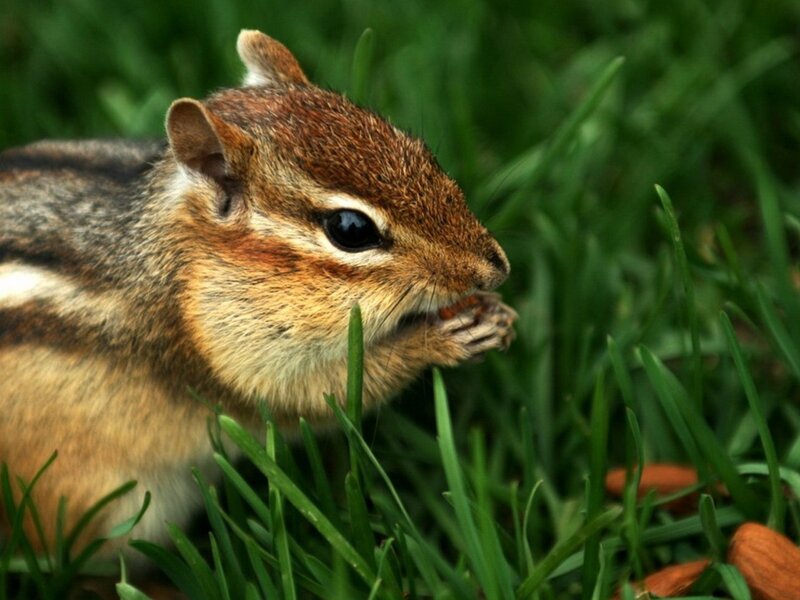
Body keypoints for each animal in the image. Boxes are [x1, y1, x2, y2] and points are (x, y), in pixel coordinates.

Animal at [0, 30, 516, 560]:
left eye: (420, 151)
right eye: (350, 229)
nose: (496, 268)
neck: (181, 264)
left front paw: (497, 315)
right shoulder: (237, 359)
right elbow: (324, 395)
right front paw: (439, 341)